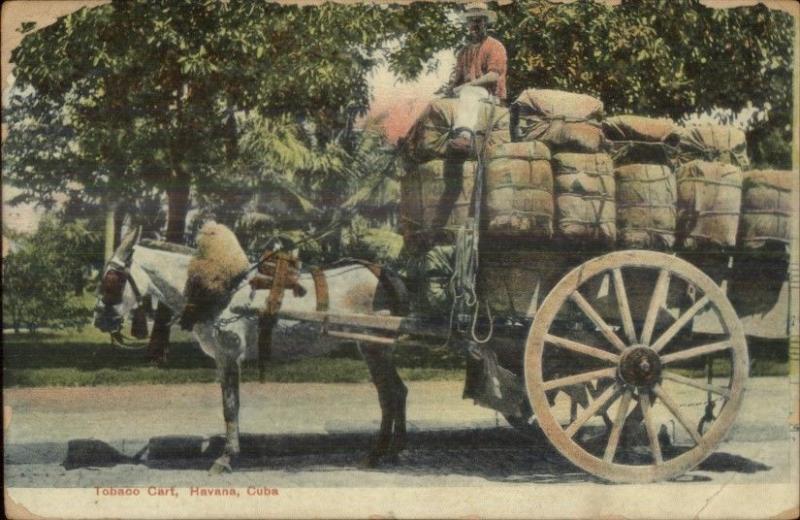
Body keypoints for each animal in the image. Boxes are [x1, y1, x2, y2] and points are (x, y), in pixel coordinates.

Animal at [95, 230, 412, 474]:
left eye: (113, 279)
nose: (99, 320)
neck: (215, 289)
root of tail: (386, 274)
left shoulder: (229, 354)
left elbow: (231, 406)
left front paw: (225, 458)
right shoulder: (221, 359)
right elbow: (228, 406)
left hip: (373, 346)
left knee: (388, 395)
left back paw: (377, 453)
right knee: (398, 391)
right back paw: (394, 450)